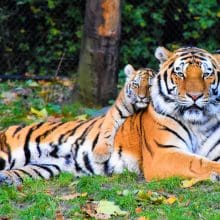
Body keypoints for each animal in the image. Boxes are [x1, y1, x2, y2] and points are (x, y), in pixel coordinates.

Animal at [0, 46, 220, 186]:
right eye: (180, 74)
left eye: (206, 74)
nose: (194, 96)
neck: (199, 123)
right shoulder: (163, 154)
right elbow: (198, 163)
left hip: (46, 167)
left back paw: (6, 179)